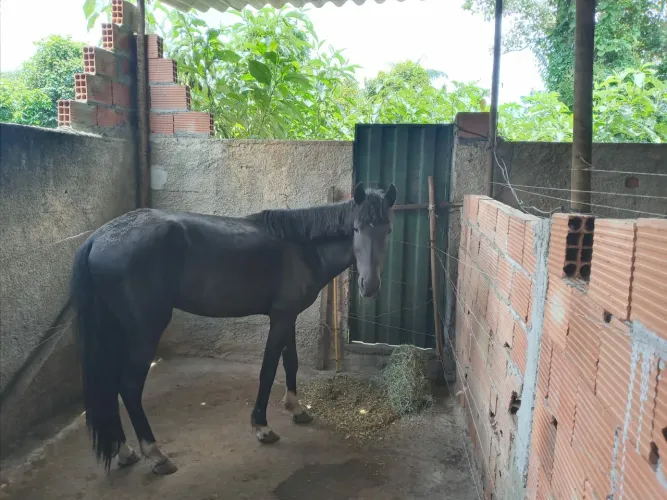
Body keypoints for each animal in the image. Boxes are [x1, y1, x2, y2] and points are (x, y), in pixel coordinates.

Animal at [70, 182, 397, 475]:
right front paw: (262, 427)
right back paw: (156, 455)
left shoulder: (287, 316)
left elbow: (290, 362)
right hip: (145, 331)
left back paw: (124, 452)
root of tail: (97, 238)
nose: (370, 286)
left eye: (388, 230)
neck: (302, 247)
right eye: (356, 229)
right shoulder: (280, 318)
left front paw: (297, 409)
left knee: (110, 384)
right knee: (128, 386)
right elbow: (268, 370)